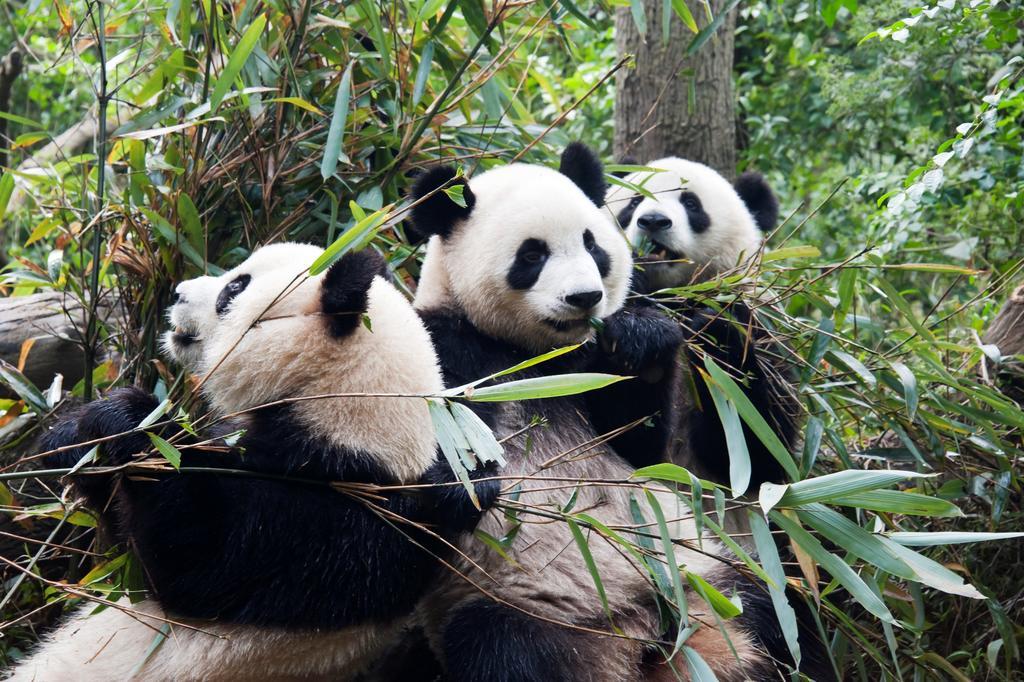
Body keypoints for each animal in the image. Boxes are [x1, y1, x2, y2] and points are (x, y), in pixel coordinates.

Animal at [12, 241, 495, 675]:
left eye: (234, 288)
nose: (178, 292)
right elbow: (118, 542)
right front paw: (73, 436)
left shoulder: (337, 520)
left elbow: (191, 564)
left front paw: (133, 420)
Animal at [606, 156, 798, 499]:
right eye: (634, 202)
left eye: (691, 204)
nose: (653, 221)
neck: (674, 297)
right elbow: (629, 444)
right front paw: (642, 335)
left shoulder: (762, 328)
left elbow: (760, 454)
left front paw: (714, 330)